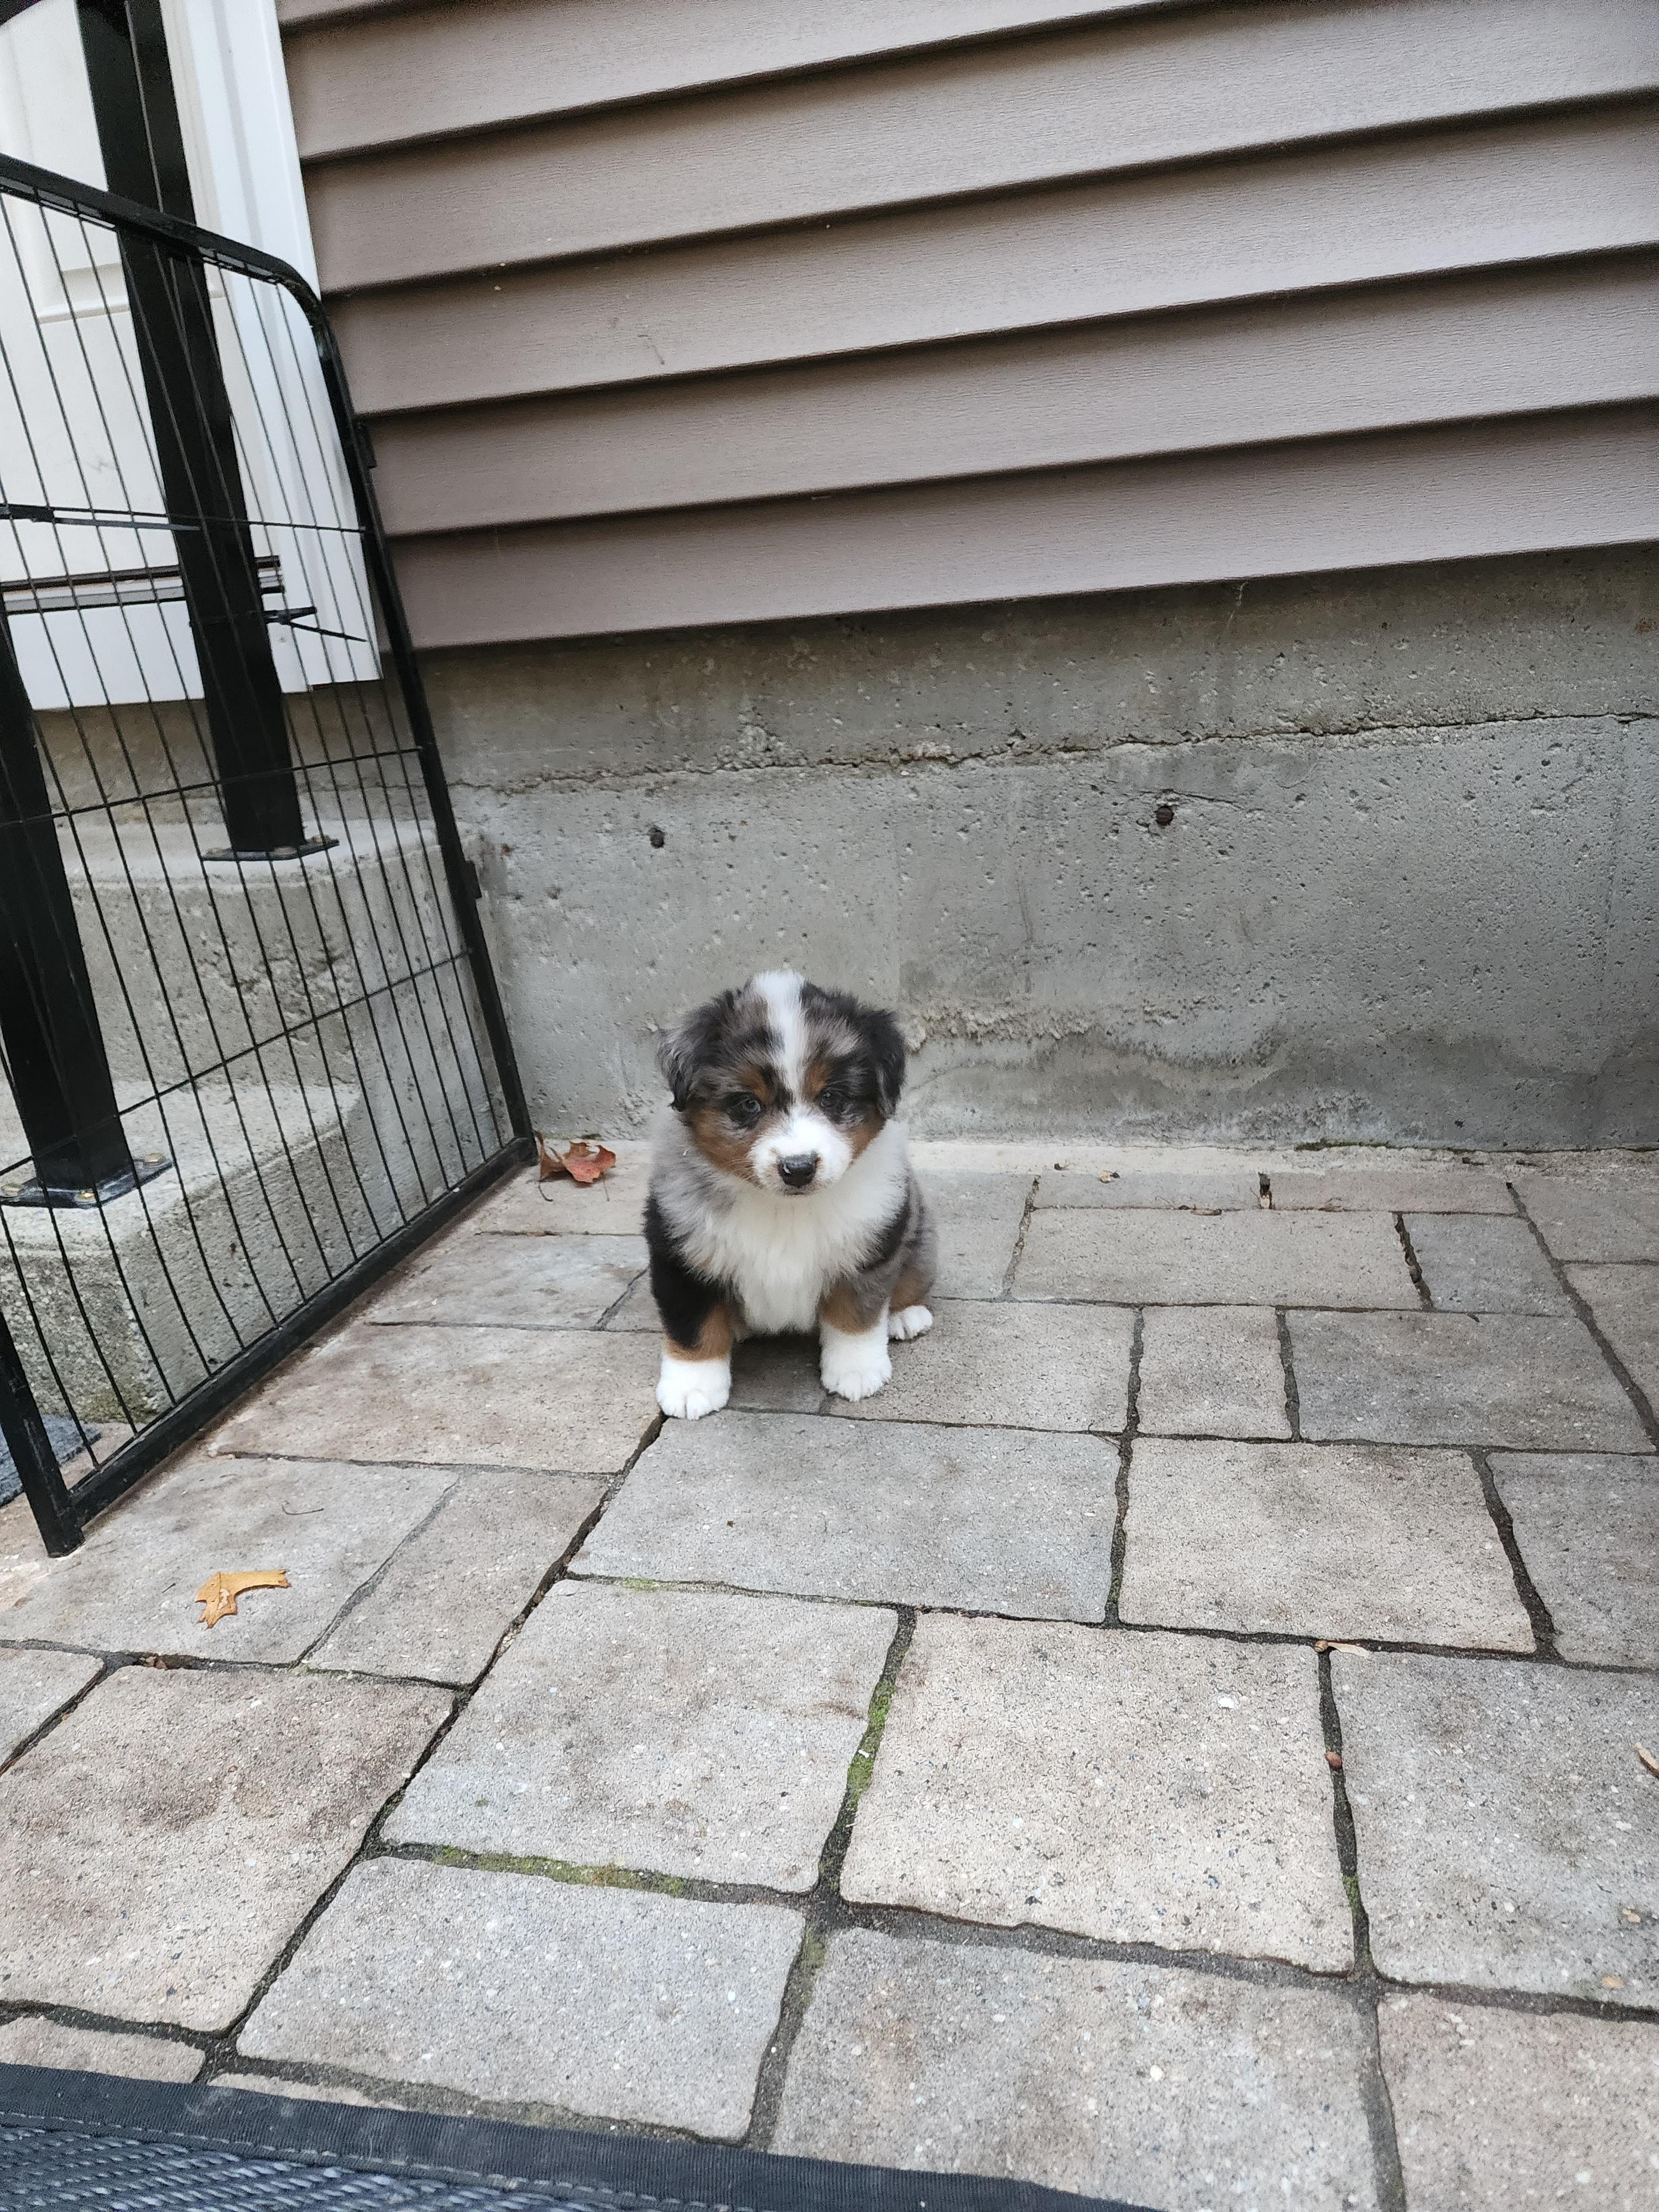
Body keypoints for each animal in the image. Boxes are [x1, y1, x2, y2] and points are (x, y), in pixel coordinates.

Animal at [646, 971, 936, 1419]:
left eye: (831, 1097)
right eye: (748, 1104)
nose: (798, 1168)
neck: (784, 1210)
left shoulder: (871, 1241)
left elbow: (856, 1311)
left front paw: (856, 1371)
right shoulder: (680, 1251)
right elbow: (692, 1325)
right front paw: (692, 1387)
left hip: (918, 1231)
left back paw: (905, 1317)